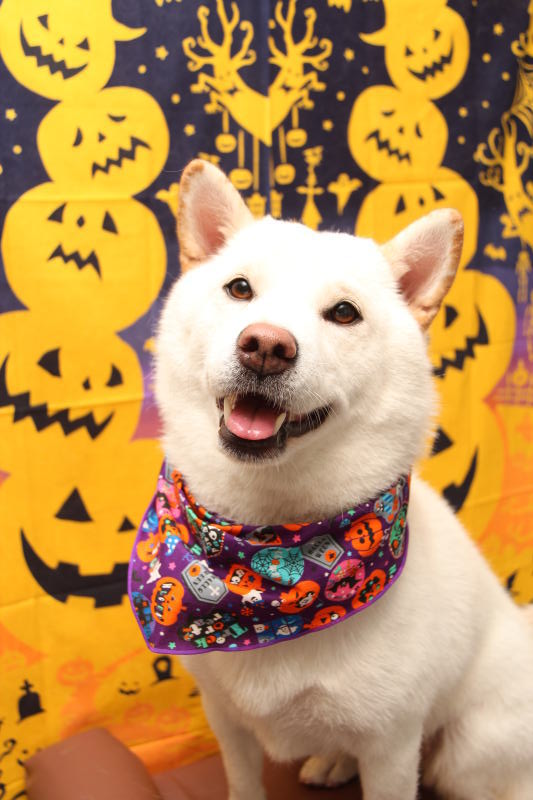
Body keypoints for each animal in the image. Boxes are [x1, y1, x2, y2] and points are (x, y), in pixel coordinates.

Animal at [153, 159, 533, 800]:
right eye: (239, 288)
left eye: (344, 313)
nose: (265, 346)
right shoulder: (225, 719)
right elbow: (243, 782)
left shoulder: (393, 748)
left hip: (468, 750)